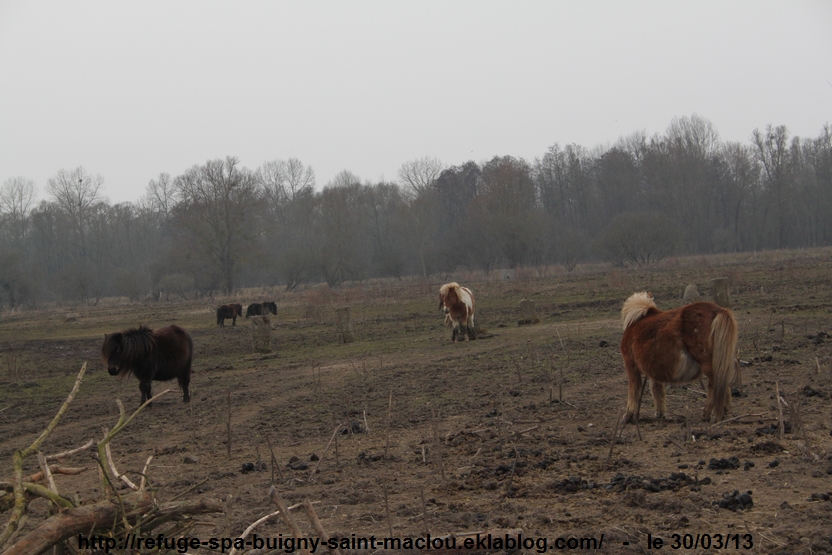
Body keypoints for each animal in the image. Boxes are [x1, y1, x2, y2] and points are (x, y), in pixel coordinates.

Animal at [620, 294, 736, 424]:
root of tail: (718, 310)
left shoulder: (631, 364)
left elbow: (634, 390)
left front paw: (628, 415)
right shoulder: (654, 369)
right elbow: (657, 389)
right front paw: (660, 413)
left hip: (709, 364)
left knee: (714, 387)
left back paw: (708, 414)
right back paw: (722, 412)